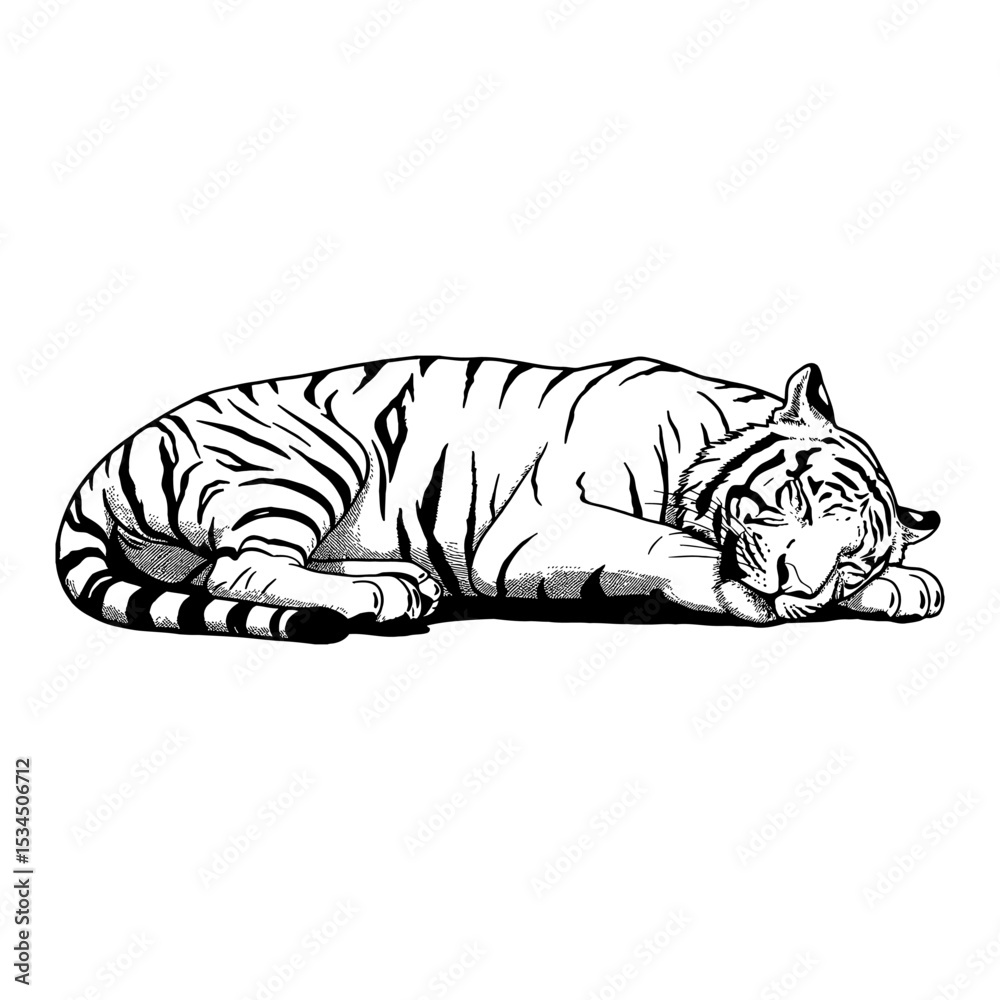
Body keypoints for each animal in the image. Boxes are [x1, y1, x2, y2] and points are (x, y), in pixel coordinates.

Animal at [56, 356, 943, 643]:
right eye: (801, 498)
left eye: (853, 560)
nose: (801, 585)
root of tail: (112, 455)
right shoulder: (537, 529)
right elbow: (660, 543)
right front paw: (726, 584)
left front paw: (906, 587)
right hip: (307, 457)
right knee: (233, 572)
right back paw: (381, 595)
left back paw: (406, 583)